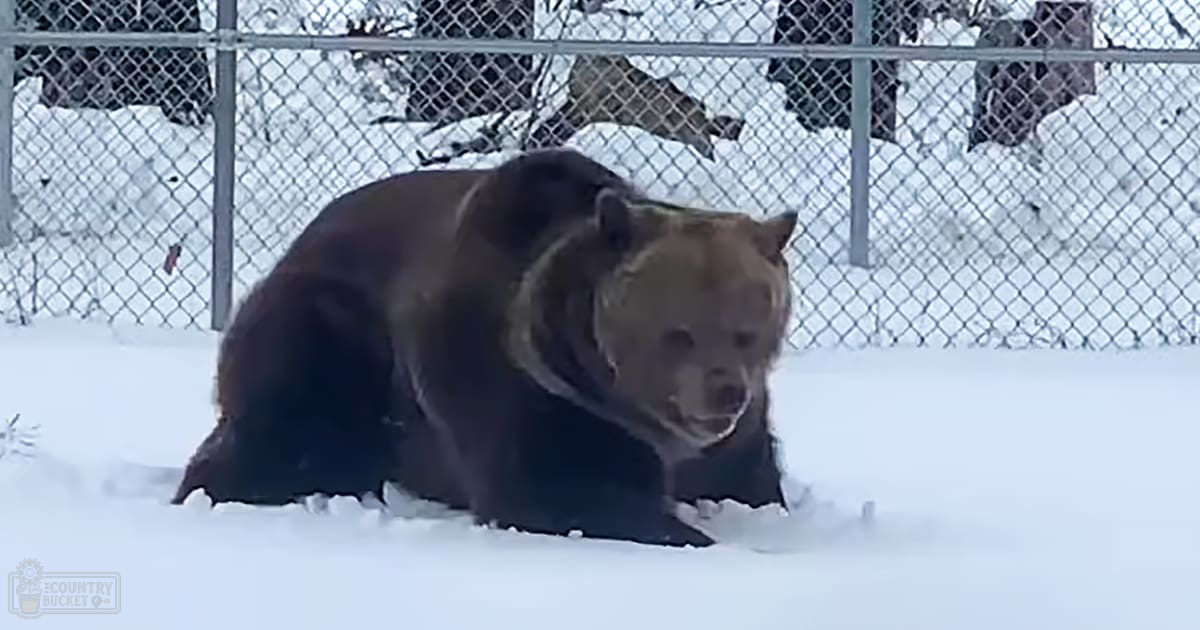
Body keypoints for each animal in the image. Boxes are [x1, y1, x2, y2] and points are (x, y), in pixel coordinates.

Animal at [172, 148, 799, 548]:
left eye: (747, 329)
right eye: (678, 332)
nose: (724, 392)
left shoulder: (737, 442)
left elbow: (755, 485)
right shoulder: (528, 395)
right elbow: (557, 487)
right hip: (327, 328)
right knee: (279, 417)